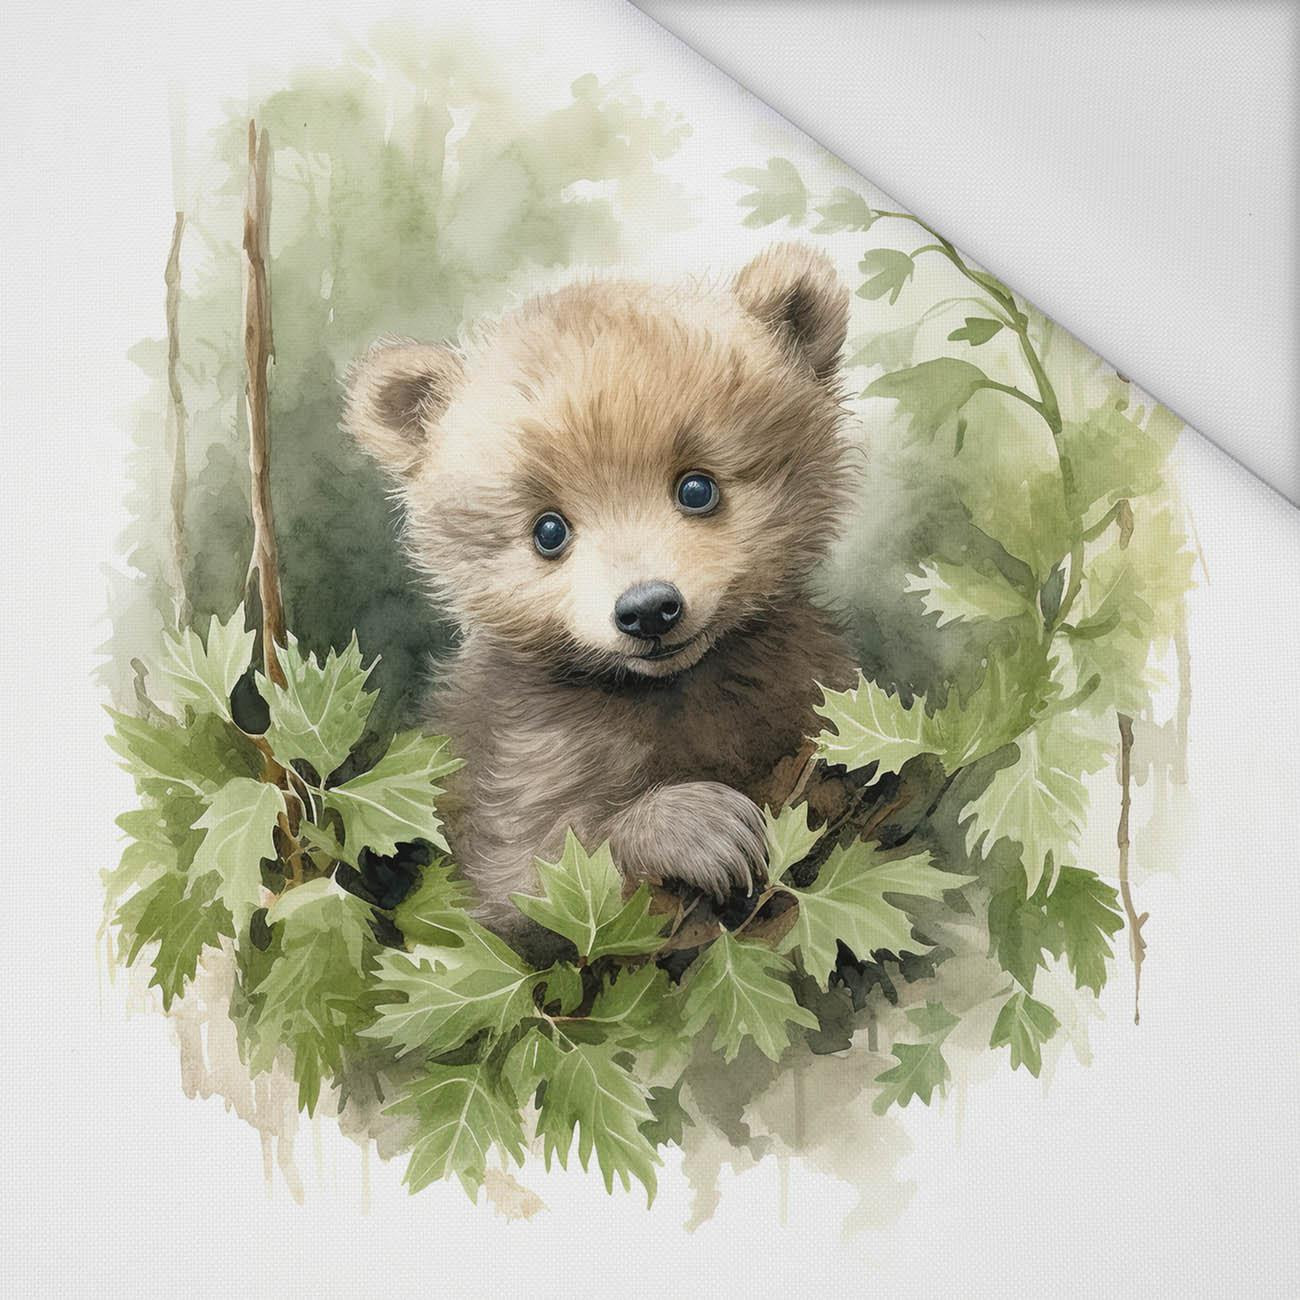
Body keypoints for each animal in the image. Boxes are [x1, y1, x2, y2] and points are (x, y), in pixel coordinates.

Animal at [344, 242, 860, 948]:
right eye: (548, 530)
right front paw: (700, 828)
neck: (673, 692)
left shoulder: (801, 686)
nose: (648, 609)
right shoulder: (515, 764)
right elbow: (534, 879)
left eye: (697, 488)